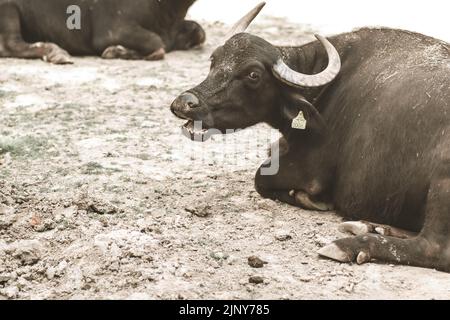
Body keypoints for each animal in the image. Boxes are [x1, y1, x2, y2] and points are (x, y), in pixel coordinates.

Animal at [0, 0, 206, 63]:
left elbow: (200, 32)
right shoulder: (112, 30)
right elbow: (156, 43)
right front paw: (116, 51)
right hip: (9, 9)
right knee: (9, 45)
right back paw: (56, 52)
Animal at [172, 3, 450, 272]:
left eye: (253, 75)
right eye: (214, 60)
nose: (184, 103)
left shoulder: (311, 172)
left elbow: (260, 178)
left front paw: (308, 199)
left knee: (434, 248)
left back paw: (348, 245)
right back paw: (371, 226)